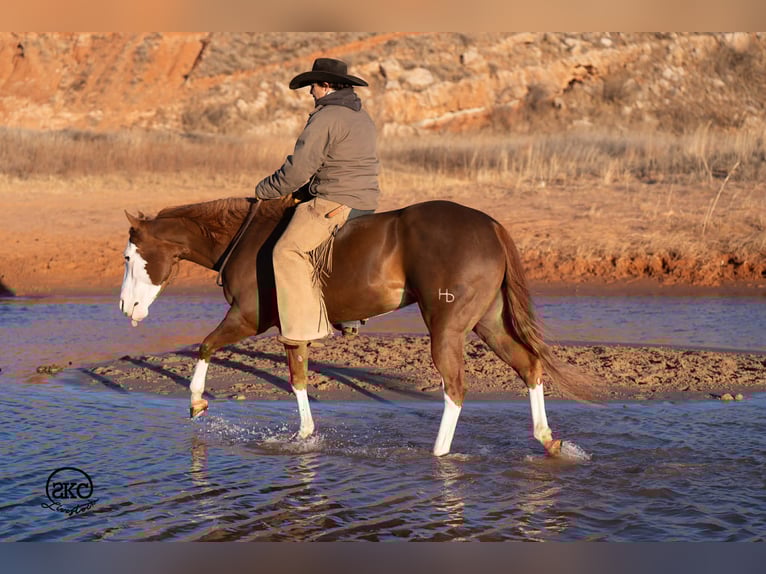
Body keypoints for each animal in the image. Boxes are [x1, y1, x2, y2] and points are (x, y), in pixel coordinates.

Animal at [120, 194, 594, 457]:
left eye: (127, 256)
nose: (126, 307)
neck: (247, 239)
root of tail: (490, 225)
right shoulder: (292, 326)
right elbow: (298, 380)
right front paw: (305, 437)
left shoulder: (247, 318)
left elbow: (205, 346)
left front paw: (197, 401)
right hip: (488, 323)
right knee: (529, 365)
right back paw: (547, 439)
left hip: (447, 330)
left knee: (456, 390)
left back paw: (438, 455)